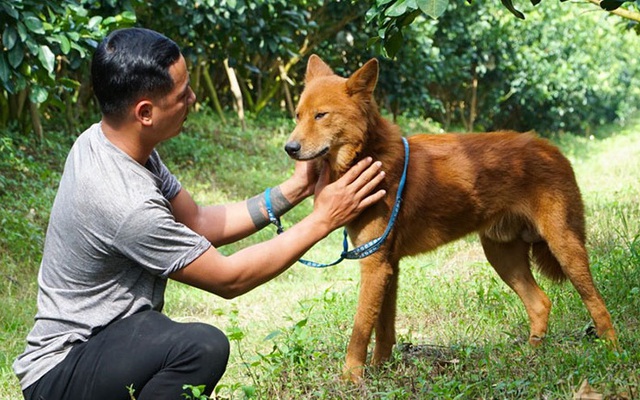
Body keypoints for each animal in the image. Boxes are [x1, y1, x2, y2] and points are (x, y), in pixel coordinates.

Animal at [284, 54, 616, 382]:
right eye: (298, 116)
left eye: (321, 115)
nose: (290, 148)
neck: (369, 155)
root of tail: (550, 148)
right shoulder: (387, 265)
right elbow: (383, 329)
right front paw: (381, 371)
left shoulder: (375, 264)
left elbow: (360, 330)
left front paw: (350, 378)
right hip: (502, 256)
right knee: (540, 303)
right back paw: (532, 355)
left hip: (564, 247)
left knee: (597, 304)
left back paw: (612, 350)